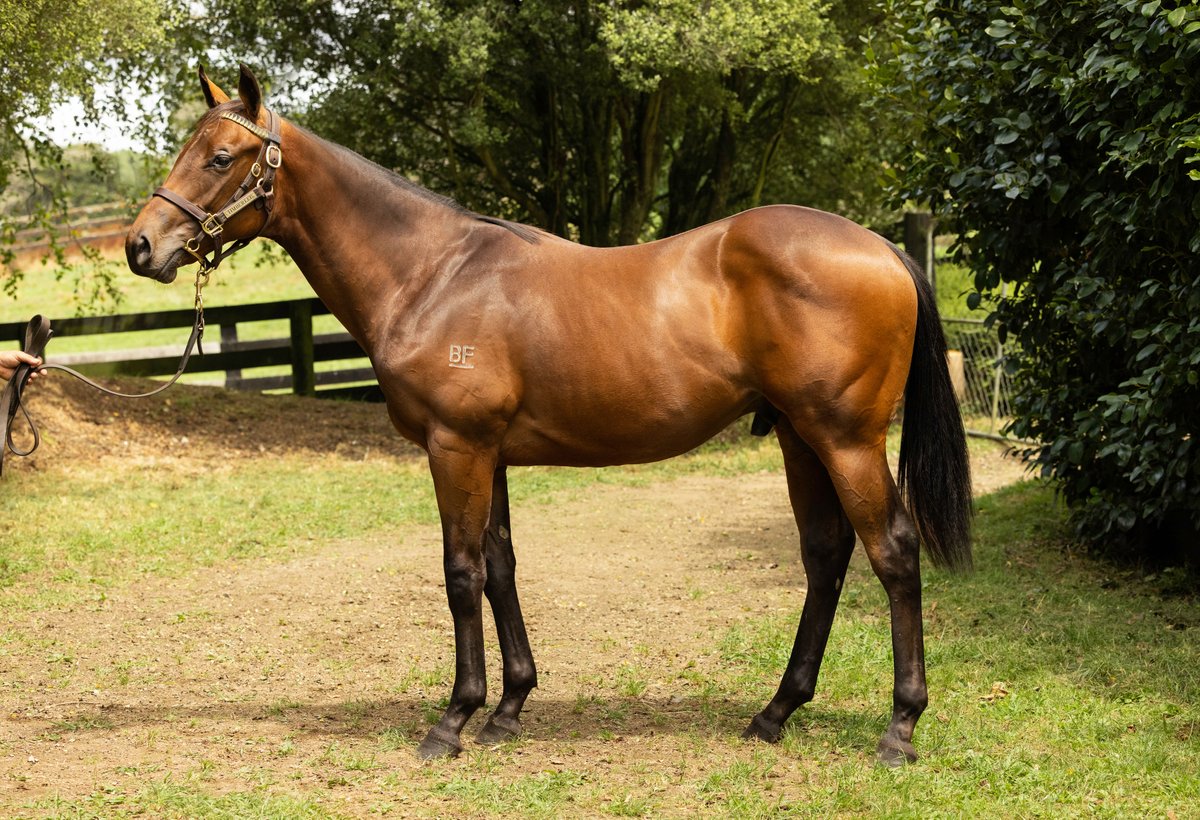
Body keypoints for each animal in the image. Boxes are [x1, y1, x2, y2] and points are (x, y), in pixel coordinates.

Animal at [126, 65, 972, 766]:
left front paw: (453, 721)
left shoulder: (455, 447)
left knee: (893, 554)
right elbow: (500, 567)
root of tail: (884, 249)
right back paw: (775, 713)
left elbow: (460, 573)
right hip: (800, 437)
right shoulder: (489, 453)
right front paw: (508, 709)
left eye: (222, 156)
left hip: (846, 439)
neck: (432, 274)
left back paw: (899, 729)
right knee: (826, 556)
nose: (141, 246)